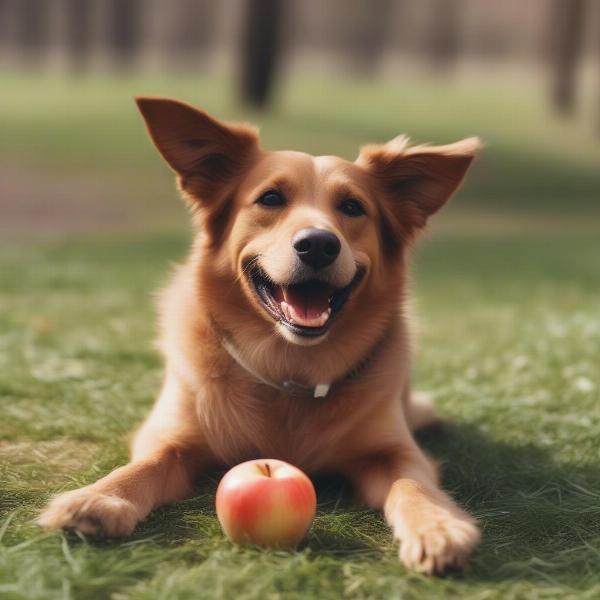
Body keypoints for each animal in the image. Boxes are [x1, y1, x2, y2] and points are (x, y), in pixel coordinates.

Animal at [37, 99, 480, 576]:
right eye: (270, 198)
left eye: (353, 206)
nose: (319, 244)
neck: (289, 371)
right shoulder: (168, 436)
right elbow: (145, 465)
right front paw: (99, 497)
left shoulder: (394, 451)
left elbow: (411, 483)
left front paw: (437, 526)